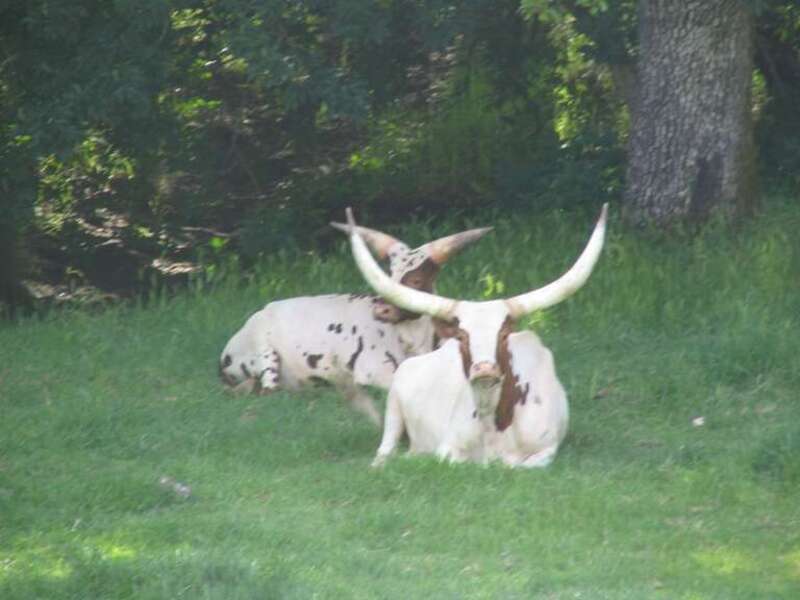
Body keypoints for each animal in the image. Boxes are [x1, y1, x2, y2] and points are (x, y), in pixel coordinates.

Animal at [219, 222, 491, 425]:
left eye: (415, 279)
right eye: (388, 275)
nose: (381, 309)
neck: (414, 340)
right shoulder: (373, 371)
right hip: (264, 353)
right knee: (269, 391)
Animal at [341, 205, 607, 467]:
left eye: (503, 335)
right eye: (461, 336)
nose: (484, 369)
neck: (493, 419)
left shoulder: (546, 451)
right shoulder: (447, 448)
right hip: (393, 404)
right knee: (385, 449)